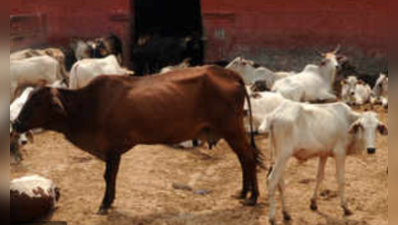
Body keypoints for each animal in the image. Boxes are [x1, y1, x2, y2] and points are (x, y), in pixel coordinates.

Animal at [11, 65, 262, 214]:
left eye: (36, 103)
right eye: (28, 99)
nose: (16, 123)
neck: (89, 105)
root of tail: (228, 73)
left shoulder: (112, 149)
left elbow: (108, 176)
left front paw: (104, 204)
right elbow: (111, 177)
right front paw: (109, 201)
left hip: (232, 129)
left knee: (248, 158)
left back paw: (253, 197)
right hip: (231, 131)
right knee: (243, 159)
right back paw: (243, 192)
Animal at [260, 102, 388, 225]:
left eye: (377, 127)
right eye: (362, 126)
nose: (371, 149)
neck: (347, 120)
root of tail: (274, 115)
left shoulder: (323, 154)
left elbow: (319, 177)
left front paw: (313, 203)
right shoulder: (340, 153)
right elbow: (341, 179)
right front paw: (345, 207)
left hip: (279, 156)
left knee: (280, 183)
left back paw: (286, 213)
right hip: (284, 155)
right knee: (272, 180)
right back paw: (272, 218)